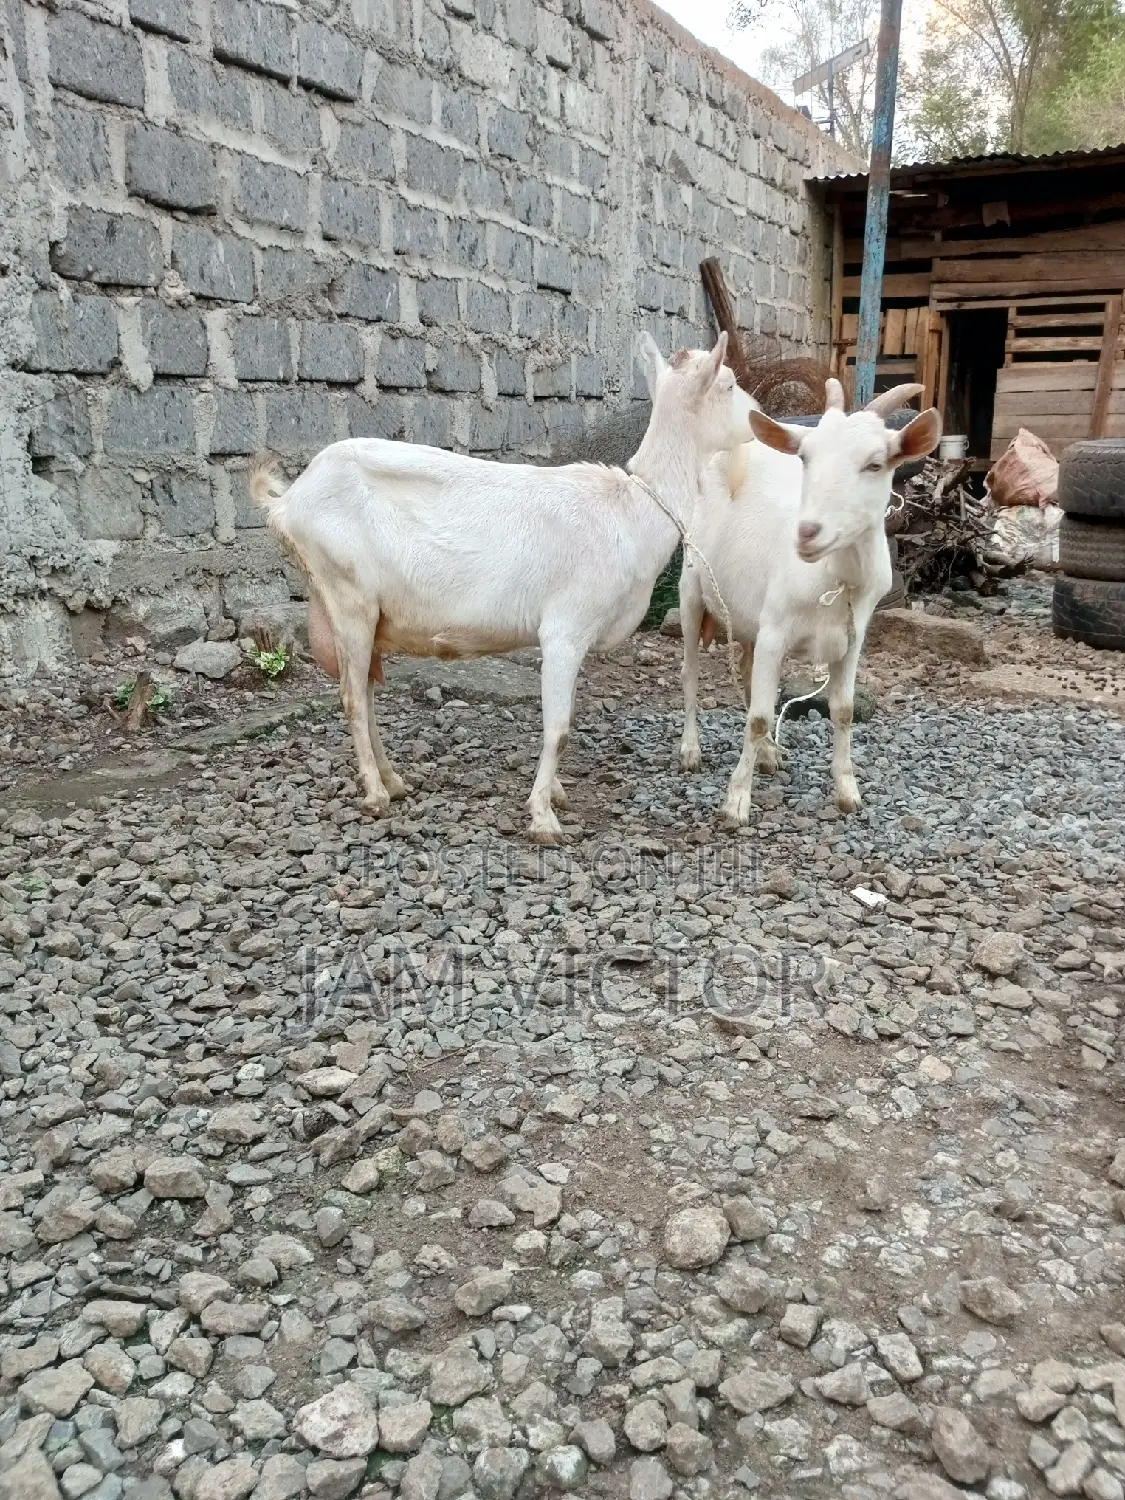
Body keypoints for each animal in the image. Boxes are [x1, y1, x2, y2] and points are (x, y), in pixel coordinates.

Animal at [252, 331, 753, 844]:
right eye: (730, 384)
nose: (759, 420)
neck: (632, 509)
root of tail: (289, 500)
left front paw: (555, 795)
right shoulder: (565, 629)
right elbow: (559, 728)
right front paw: (543, 817)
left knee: (366, 696)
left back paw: (394, 782)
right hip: (348, 595)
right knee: (353, 698)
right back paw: (374, 794)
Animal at [676, 379, 941, 825]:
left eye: (875, 464)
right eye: (805, 457)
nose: (807, 533)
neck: (836, 578)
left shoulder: (852, 638)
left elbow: (843, 710)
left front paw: (848, 792)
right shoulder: (775, 631)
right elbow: (759, 716)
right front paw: (736, 802)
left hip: (750, 619)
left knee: (746, 672)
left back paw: (769, 755)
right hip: (692, 588)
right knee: (691, 672)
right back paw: (691, 750)